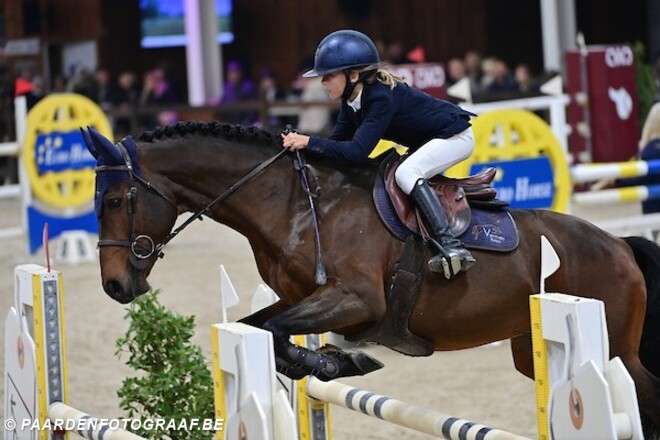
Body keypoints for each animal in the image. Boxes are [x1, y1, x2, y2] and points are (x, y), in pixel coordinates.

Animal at [82, 121, 660, 434]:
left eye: (115, 201)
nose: (114, 286)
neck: (293, 204)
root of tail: (618, 245)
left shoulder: (357, 301)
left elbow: (276, 332)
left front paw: (339, 360)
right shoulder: (304, 298)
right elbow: (261, 328)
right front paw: (331, 362)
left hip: (615, 349)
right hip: (528, 350)